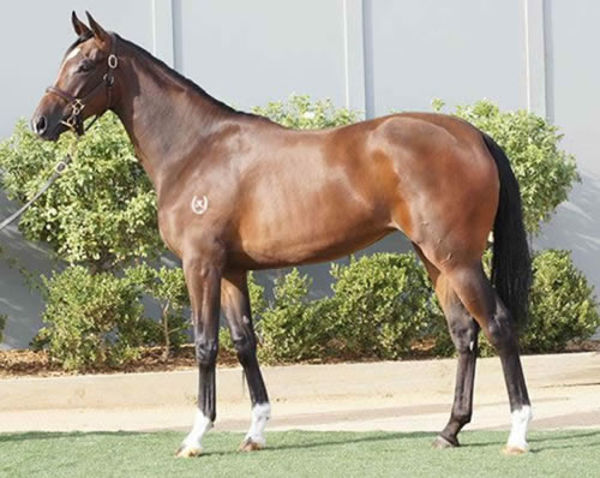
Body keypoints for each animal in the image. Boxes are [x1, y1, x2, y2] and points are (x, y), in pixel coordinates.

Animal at [31, 13, 536, 458]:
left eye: (85, 65)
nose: (41, 122)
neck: (196, 150)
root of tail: (472, 135)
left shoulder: (200, 264)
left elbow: (205, 344)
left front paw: (195, 437)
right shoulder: (232, 271)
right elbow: (244, 343)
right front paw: (254, 432)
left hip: (458, 258)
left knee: (498, 326)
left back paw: (517, 433)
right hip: (435, 258)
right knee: (464, 333)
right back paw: (450, 430)